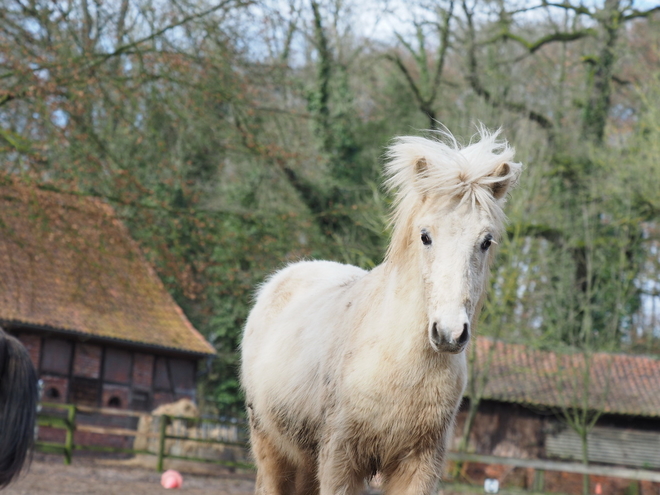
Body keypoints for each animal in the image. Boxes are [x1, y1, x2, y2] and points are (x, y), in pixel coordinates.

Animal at [241, 128, 520, 495]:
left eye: (486, 241)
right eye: (425, 236)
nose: (449, 333)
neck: (399, 365)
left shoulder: (419, 465)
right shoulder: (340, 460)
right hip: (271, 448)